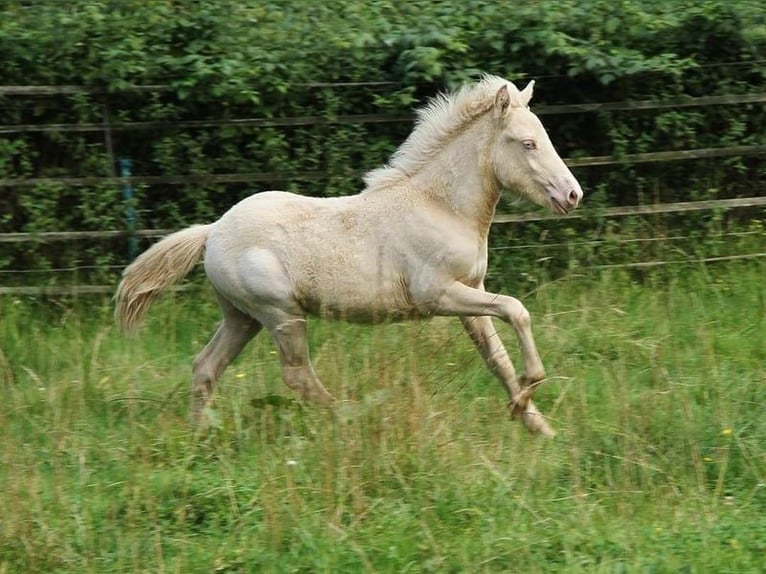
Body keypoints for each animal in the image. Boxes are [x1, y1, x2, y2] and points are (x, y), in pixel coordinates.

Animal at [115, 75, 584, 436]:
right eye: (527, 143)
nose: (572, 195)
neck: (439, 206)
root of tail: (212, 231)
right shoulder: (438, 295)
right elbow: (517, 310)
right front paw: (529, 389)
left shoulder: (471, 293)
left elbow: (497, 358)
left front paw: (536, 423)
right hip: (281, 314)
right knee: (297, 375)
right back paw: (351, 418)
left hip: (242, 317)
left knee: (206, 366)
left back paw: (200, 436)